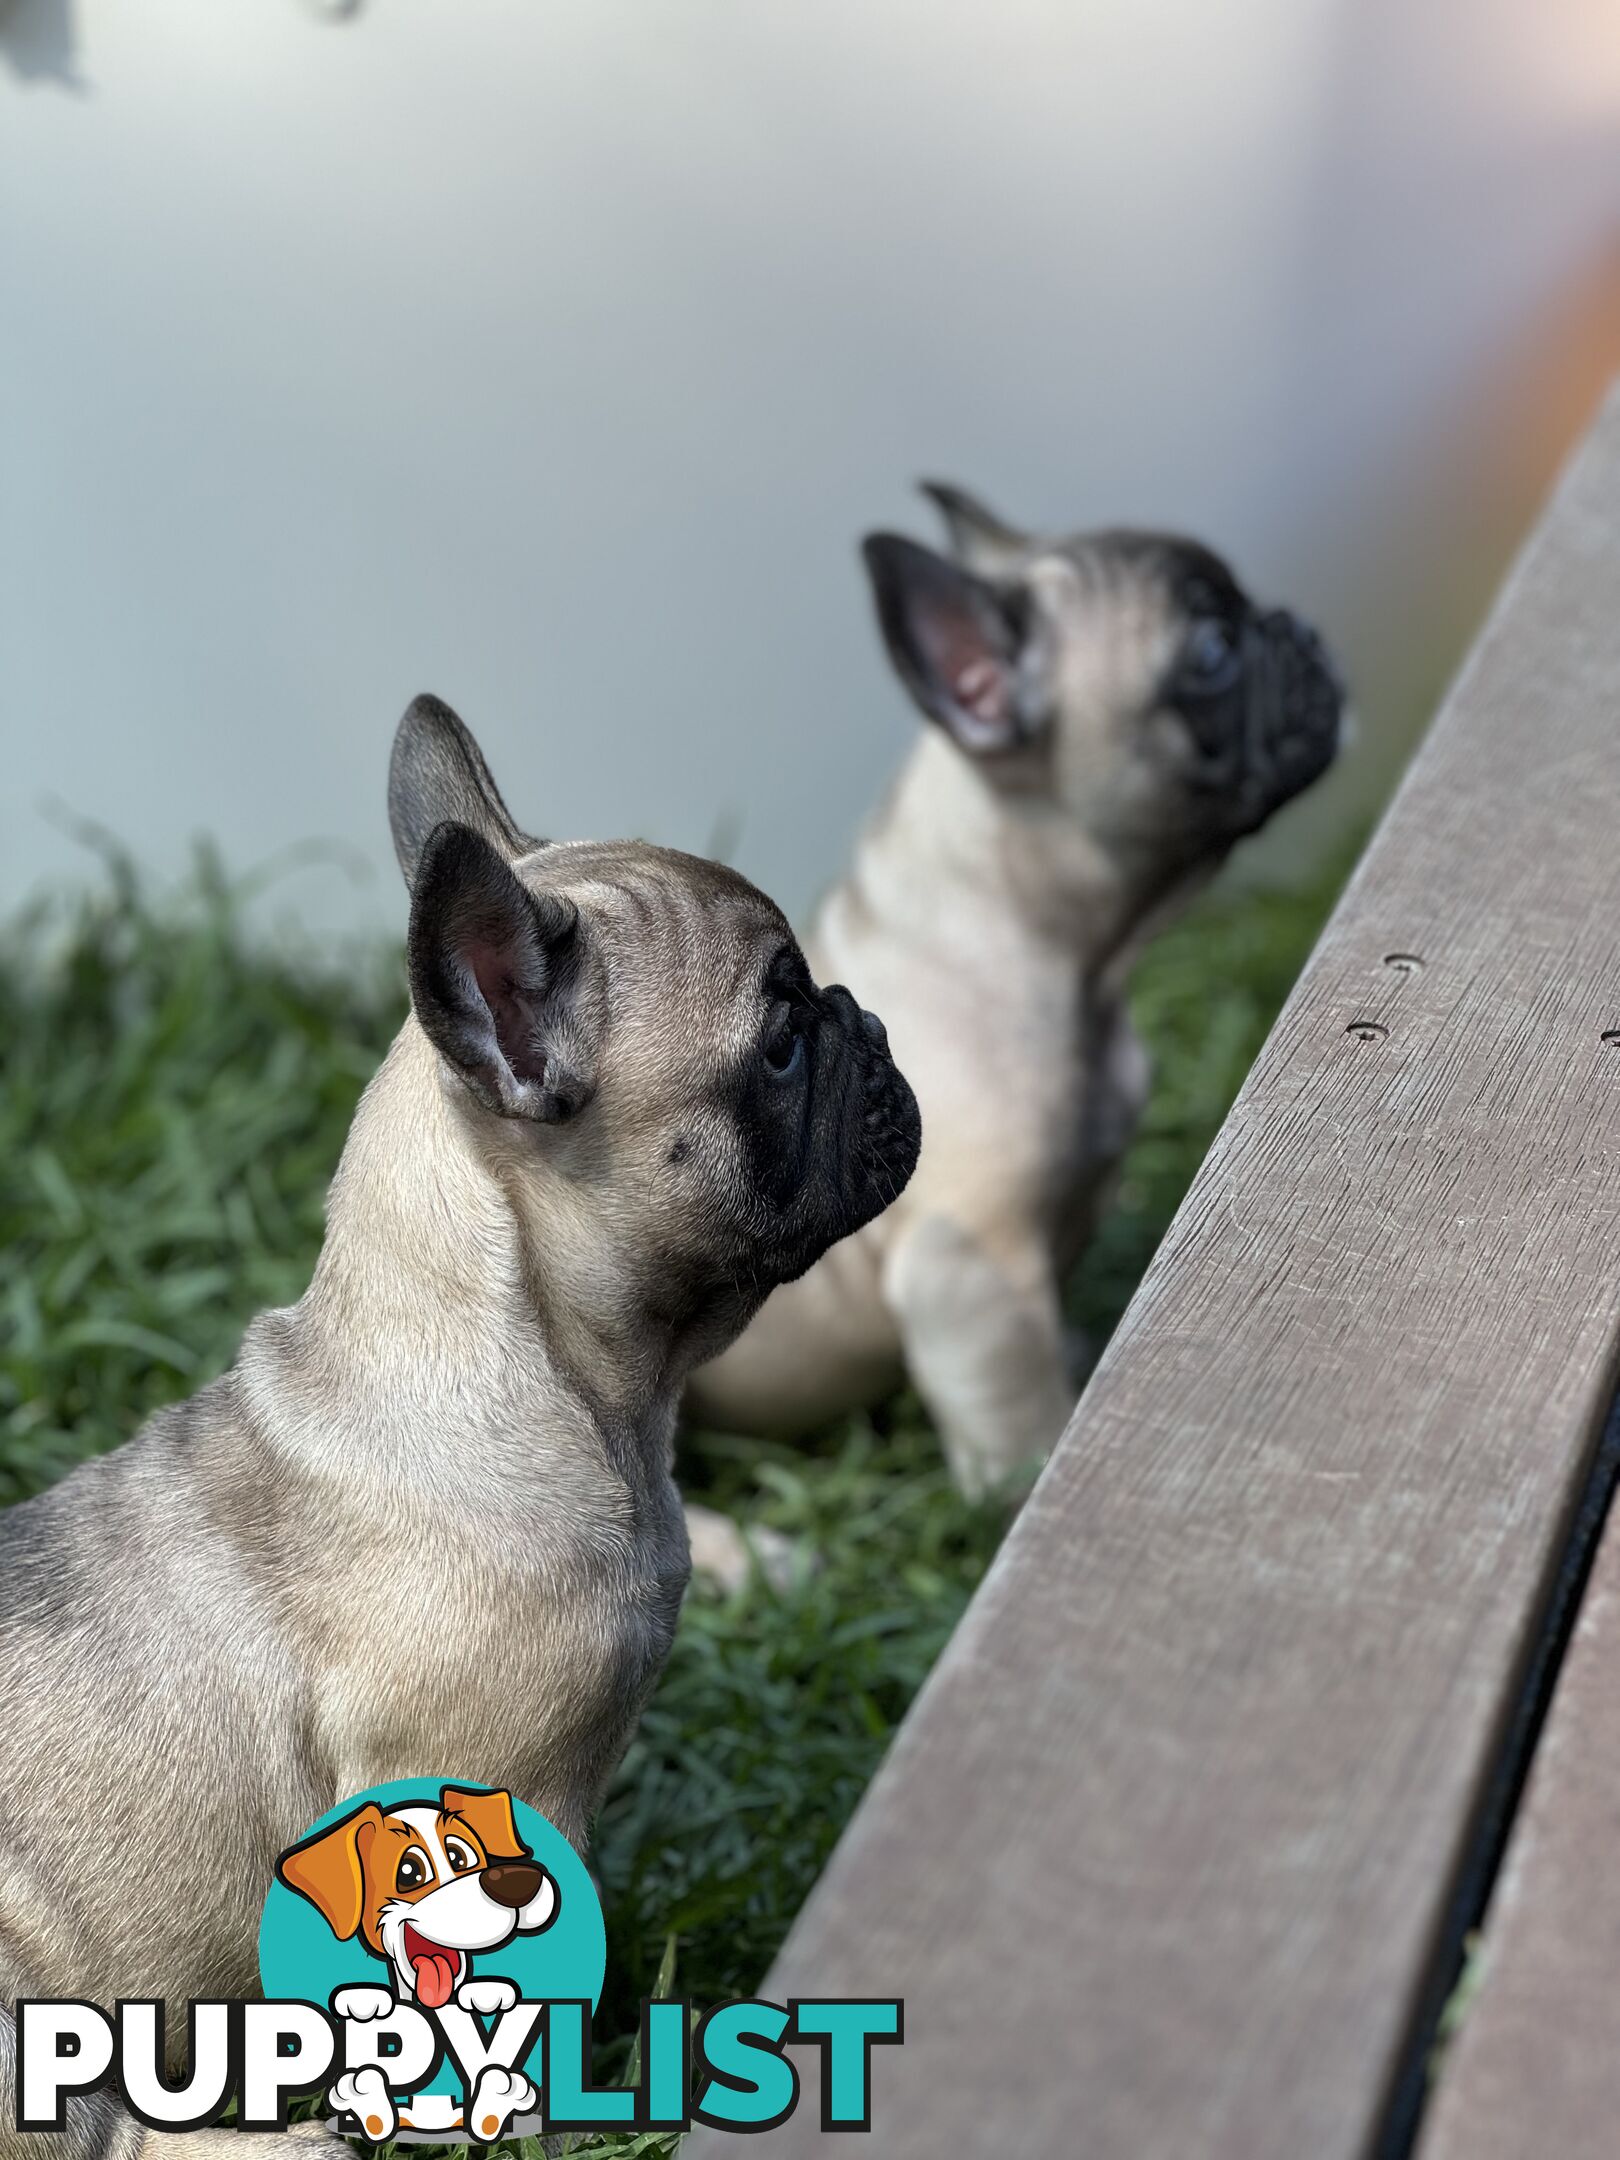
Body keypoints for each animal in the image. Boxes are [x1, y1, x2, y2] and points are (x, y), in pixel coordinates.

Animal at [691, 481, 1347, 1494]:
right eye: (1210, 652)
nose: (1302, 630)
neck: (1063, 958)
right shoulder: (972, 1276)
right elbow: (1018, 1416)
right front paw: (1030, 1482)